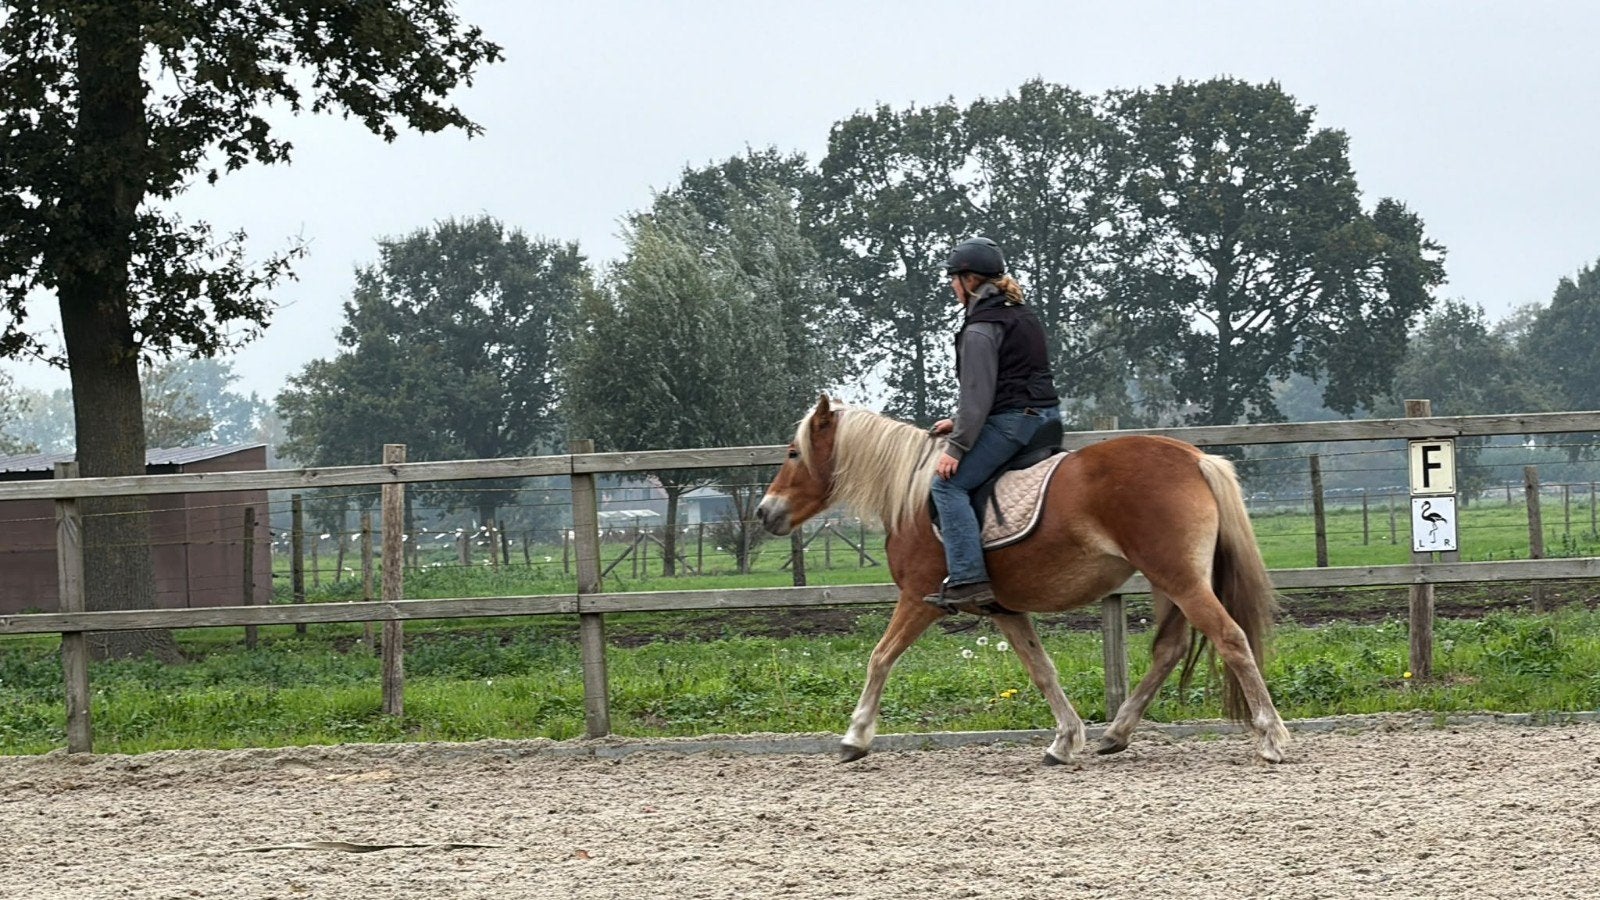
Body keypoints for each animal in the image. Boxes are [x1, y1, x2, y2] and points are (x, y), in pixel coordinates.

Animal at [755, 395, 1290, 765]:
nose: (764, 512)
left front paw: (855, 737)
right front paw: (1065, 740)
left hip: (1180, 580)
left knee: (1230, 638)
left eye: (794, 453)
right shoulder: (1004, 610)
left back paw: (1271, 736)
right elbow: (1041, 669)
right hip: (1170, 582)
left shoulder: (918, 599)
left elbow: (880, 658)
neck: (912, 494)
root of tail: (1193, 457)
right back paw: (1116, 733)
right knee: (1170, 649)